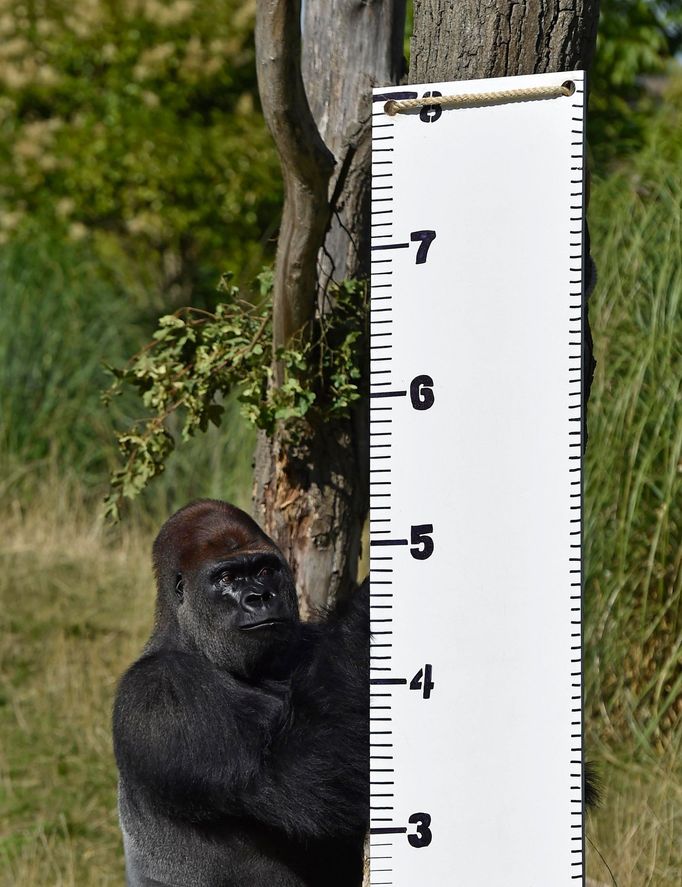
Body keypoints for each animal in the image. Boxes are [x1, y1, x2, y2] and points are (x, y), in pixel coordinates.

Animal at [113, 500, 366, 887]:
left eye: (264, 570)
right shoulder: (158, 692)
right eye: (227, 578)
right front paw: (365, 609)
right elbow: (301, 777)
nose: (259, 597)